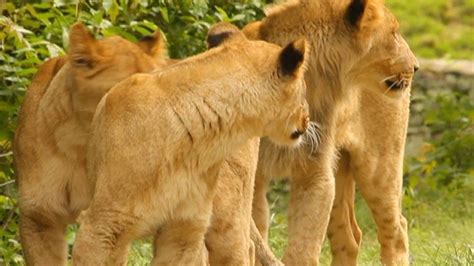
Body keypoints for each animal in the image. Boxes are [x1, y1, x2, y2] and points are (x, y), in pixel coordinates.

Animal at [244, 0, 418, 266]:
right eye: (394, 33)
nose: (416, 66)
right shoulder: (251, 173)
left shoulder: (314, 170)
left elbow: (302, 247)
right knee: (349, 237)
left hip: (380, 165)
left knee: (396, 229)